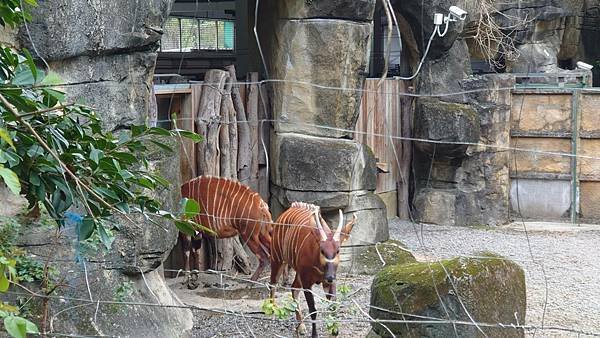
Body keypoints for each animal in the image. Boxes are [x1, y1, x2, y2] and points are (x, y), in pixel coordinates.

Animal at [270, 202, 356, 336]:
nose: (330, 277)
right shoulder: (307, 282)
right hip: (277, 259)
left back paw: (301, 327)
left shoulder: (329, 282)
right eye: (322, 250)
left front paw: (335, 331)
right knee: (273, 283)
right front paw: (314, 334)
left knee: (293, 287)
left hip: (298, 272)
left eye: (337, 250)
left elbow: (333, 306)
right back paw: (271, 311)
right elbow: (313, 309)